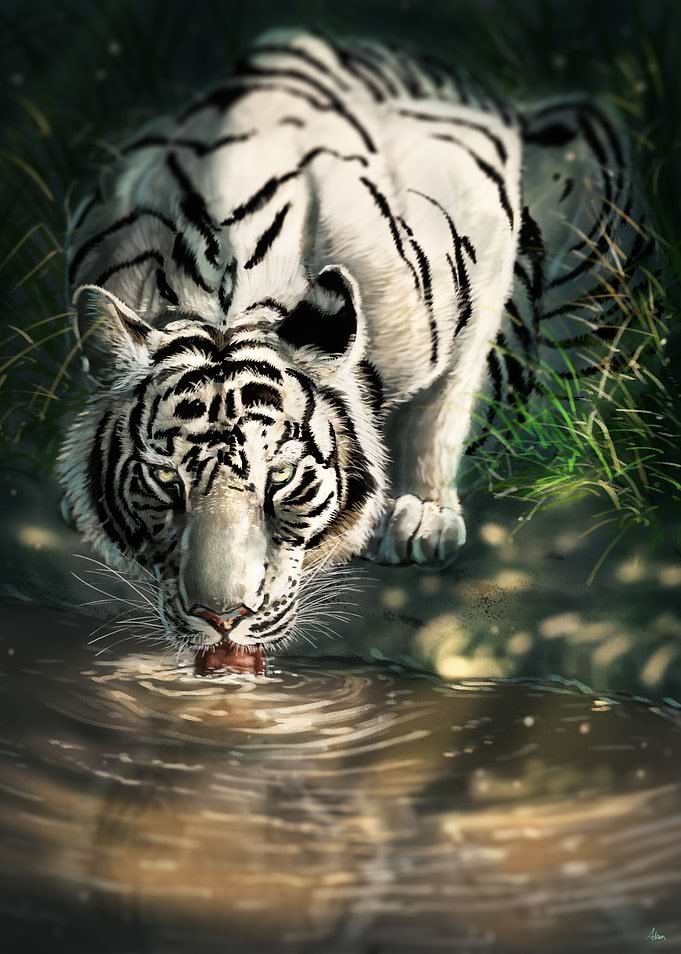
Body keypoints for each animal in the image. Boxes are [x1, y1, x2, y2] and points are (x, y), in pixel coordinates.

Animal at [57, 29, 655, 653]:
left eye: (281, 477)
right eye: (166, 480)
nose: (222, 618)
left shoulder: (484, 220)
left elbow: (442, 408)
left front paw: (425, 514)